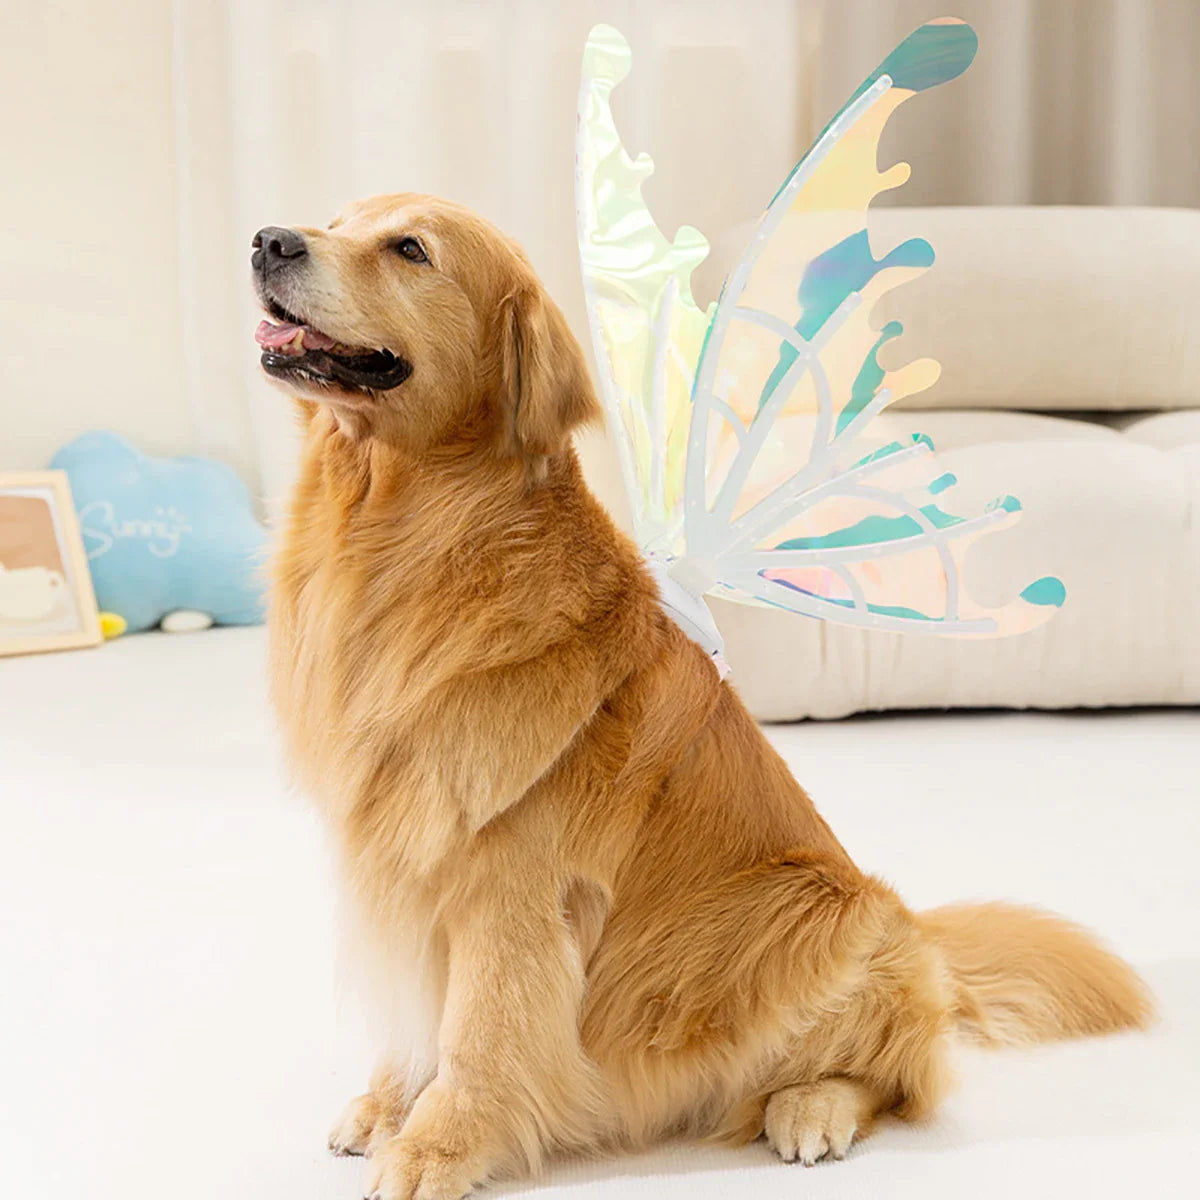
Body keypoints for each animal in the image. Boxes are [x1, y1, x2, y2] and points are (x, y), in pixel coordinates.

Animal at [253, 192, 1152, 1195]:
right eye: (338, 221)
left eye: (410, 249)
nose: (268, 240)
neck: (407, 535)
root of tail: (917, 930)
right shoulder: (405, 861)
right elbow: (419, 1018)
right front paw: (387, 1104)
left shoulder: (510, 890)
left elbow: (479, 1034)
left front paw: (435, 1149)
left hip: (805, 914)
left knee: (896, 1076)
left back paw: (811, 1108)